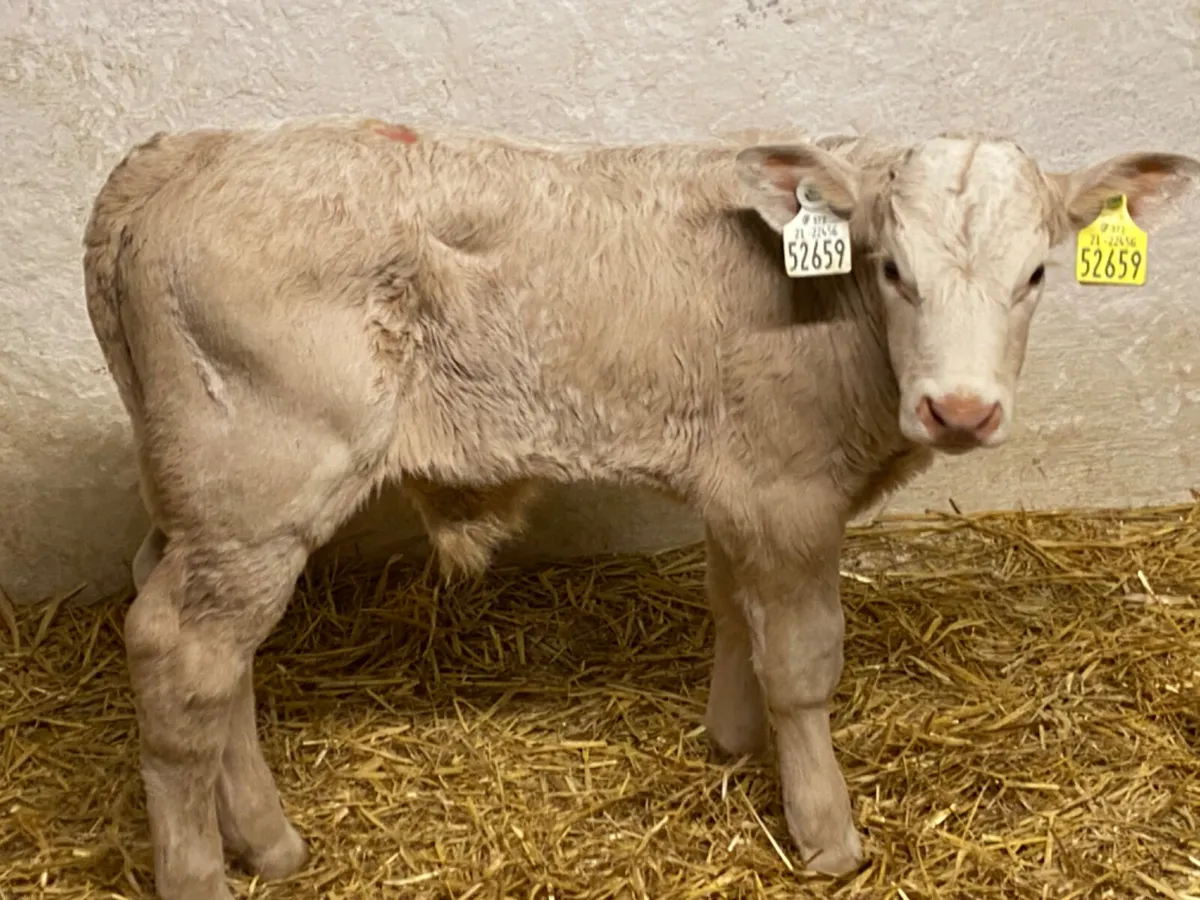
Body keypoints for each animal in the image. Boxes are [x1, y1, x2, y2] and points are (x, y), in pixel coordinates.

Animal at [81, 115, 1198, 900]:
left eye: (1037, 274)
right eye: (893, 270)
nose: (960, 410)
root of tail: (178, 154)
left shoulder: (739, 483)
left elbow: (732, 610)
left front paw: (731, 740)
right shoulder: (789, 491)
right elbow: (802, 661)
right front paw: (825, 831)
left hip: (200, 494)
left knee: (197, 641)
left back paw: (267, 842)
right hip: (258, 485)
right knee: (180, 651)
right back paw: (200, 874)